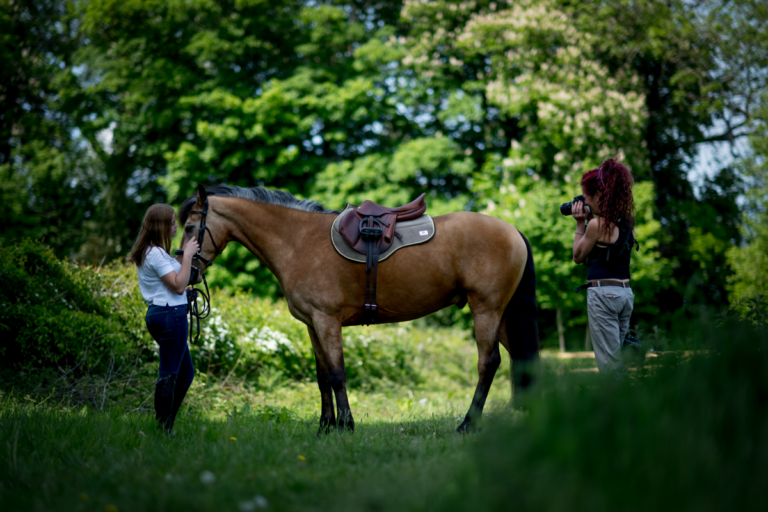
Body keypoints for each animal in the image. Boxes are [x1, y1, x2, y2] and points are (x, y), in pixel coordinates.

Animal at [180, 184, 540, 432]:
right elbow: (322, 376)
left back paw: (468, 423)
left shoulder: (327, 321)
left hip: (486, 310)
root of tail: (513, 231)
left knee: (487, 363)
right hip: (503, 316)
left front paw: (345, 425)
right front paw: (325, 426)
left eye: (189, 228)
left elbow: (337, 373)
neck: (298, 241)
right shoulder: (312, 324)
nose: (189, 273)